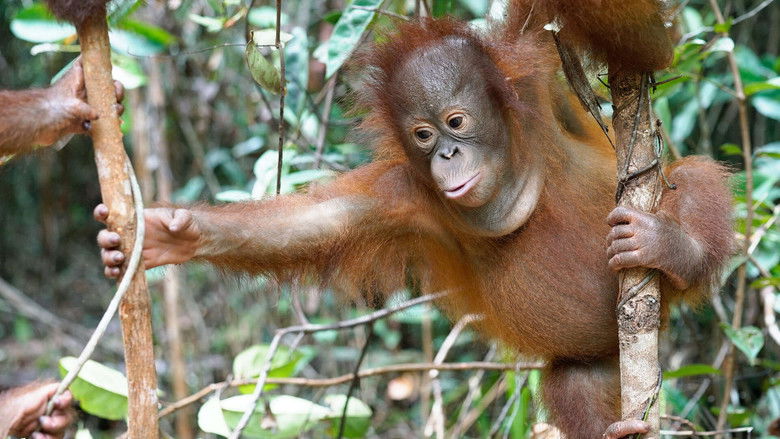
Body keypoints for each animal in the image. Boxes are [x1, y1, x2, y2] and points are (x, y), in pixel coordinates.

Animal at [96, 12, 732, 439]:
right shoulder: (402, 200)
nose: (447, 155)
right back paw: (617, 427)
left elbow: (647, 48)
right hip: (599, 359)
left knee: (693, 175)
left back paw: (669, 245)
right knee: (574, 381)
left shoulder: (532, 70)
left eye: (456, 121)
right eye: (423, 135)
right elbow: (315, 223)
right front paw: (168, 235)